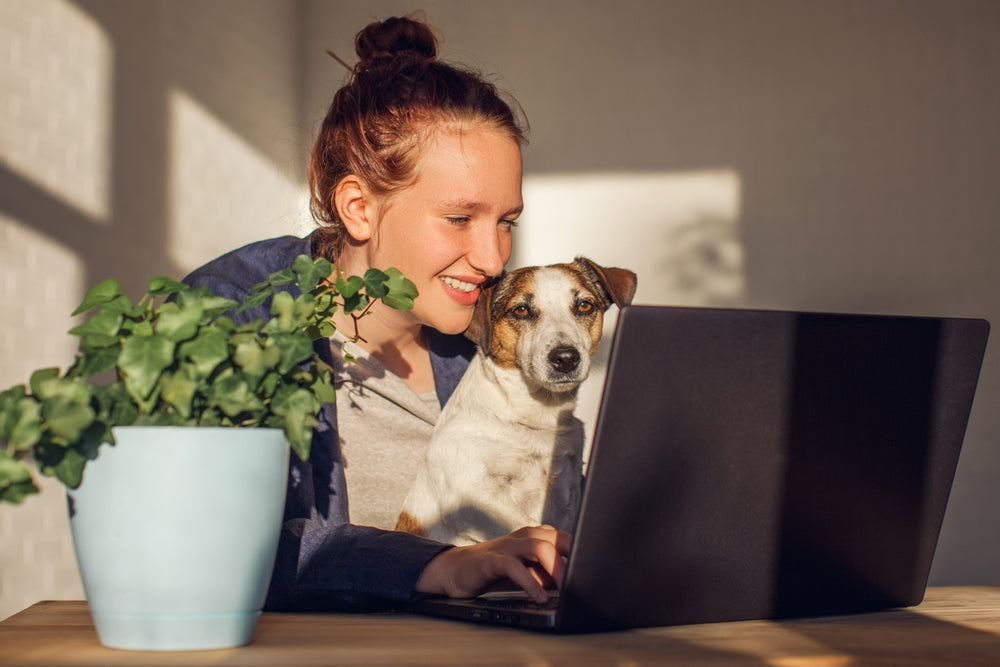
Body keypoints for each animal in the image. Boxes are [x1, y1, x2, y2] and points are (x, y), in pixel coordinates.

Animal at [394, 258, 636, 544]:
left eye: (584, 305)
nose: (566, 358)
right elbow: (529, 526)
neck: (535, 418)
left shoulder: (567, 492)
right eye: (521, 310)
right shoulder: (468, 491)